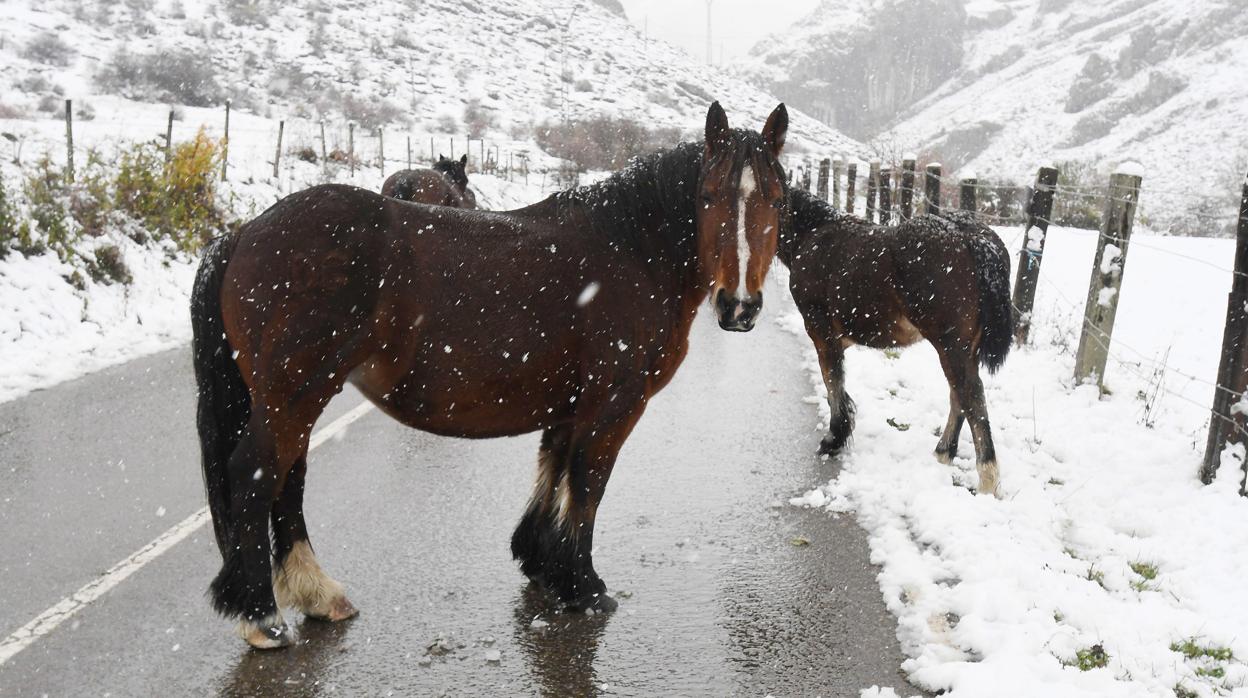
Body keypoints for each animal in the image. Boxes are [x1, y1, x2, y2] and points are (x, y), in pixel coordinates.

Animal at [187, 101, 788, 649]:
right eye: (707, 197)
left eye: (777, 200)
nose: (739, 306)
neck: (632, 249)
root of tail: (244, 233)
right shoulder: (613, 405)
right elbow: (588, 484)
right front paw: (585, 587)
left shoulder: (569, 404)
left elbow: (553, 469)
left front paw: (542, 565)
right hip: (294, 393)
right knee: (256, 476)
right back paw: (263, 617)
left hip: (292, 398)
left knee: (287, 480)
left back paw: (317, 595)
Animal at [778, 188, 1013, 499]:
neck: (813, 234)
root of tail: (971, 235)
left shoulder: (821, 332)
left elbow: (833, 384)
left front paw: (833, 440)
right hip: (962, 350)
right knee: (959, 395)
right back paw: (943, 453)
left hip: (952, 347)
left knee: (971, 396)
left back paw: (986, 481)